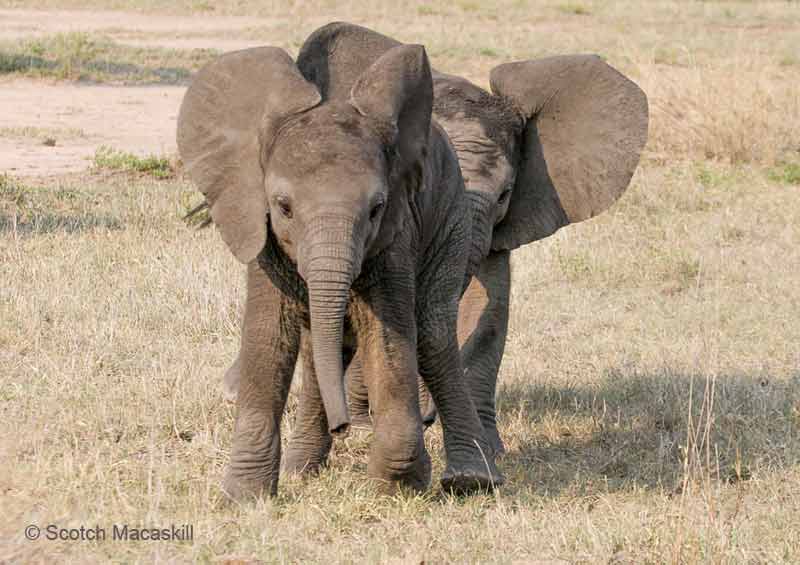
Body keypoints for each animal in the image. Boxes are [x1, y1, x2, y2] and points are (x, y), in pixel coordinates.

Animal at [177, 43, 500, 498]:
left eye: (376, 208)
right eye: (283, 207)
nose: (343, 425)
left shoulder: (395, 236)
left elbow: (388, 337)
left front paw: (396, 487)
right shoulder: (259, 230)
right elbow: (269, 337)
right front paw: (244, 498)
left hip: (452, 218)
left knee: (433, 334)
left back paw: (472, 479)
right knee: (318, 349)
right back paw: (300, 469)